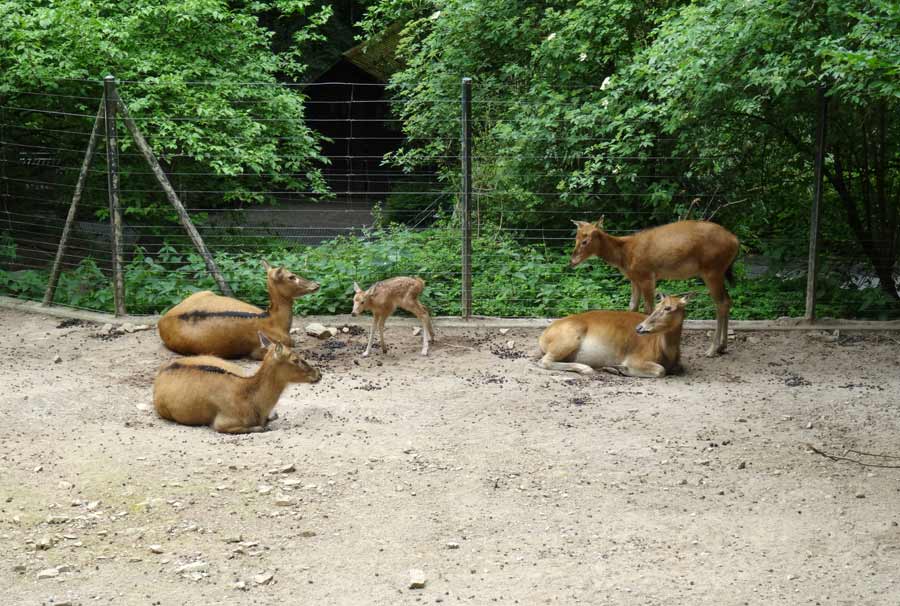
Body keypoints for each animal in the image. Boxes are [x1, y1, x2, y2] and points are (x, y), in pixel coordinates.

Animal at [159, 258, 320, 358]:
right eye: (291, 276)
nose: (316, 284)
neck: (275, 323)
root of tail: (161, 321)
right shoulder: (259, 350)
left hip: (203, 291)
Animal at [536, 292, 692, 378]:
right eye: (657, 306)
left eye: (668, 308)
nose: (640, 328)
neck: (665, 351)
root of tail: (544, 336)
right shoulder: (636, 358)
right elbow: (661, 370)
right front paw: (617, 368)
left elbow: (680, 368)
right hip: (569, 338)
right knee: (544, 361)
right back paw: (586, 368)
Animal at [568, 217, 740, 356]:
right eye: (575, 237)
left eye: (585, 241)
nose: (572, 261)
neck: (624, 255)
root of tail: (736, 242)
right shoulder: (634, 279)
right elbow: (632, 307)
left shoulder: (647, 277)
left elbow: (648, 309)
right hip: (719, 271)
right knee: (728, 301)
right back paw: (722, 346)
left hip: (712, 270)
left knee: (721, 303)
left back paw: (711, 350)